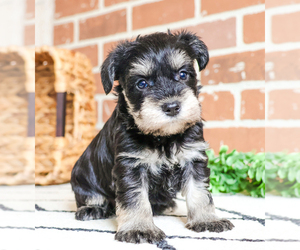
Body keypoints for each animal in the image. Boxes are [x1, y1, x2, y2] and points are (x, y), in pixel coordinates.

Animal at [71, 30, 234, 243]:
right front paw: (138, 228)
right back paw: (91, 209)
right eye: (142, 83)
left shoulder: (193, 158)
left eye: (183, 74)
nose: (172, 107)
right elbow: (135, 198)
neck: (163, 136)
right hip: (83, 178)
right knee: (91, 197)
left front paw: (207, 220)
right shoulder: (131, 166)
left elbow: (199, 192)